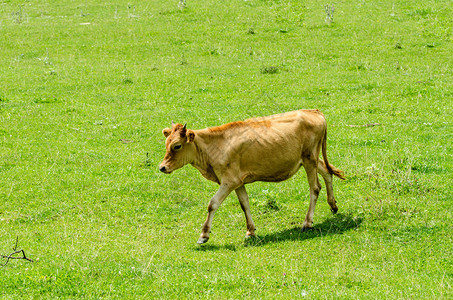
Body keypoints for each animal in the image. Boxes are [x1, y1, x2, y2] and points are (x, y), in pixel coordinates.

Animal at [158, 109, 342, 244]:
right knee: (327, 171)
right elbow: (244, 204)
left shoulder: (229, 181)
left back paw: (307, 223)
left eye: (177, 146)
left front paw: (204, 235)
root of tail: (314, 111)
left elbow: (212, 204)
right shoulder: (238, 182)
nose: (162, 167)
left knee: (315, 188)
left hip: (309, 158)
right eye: (166, 143)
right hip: (310, 159)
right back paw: (333, 205)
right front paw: (250, 231)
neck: (214, 145)